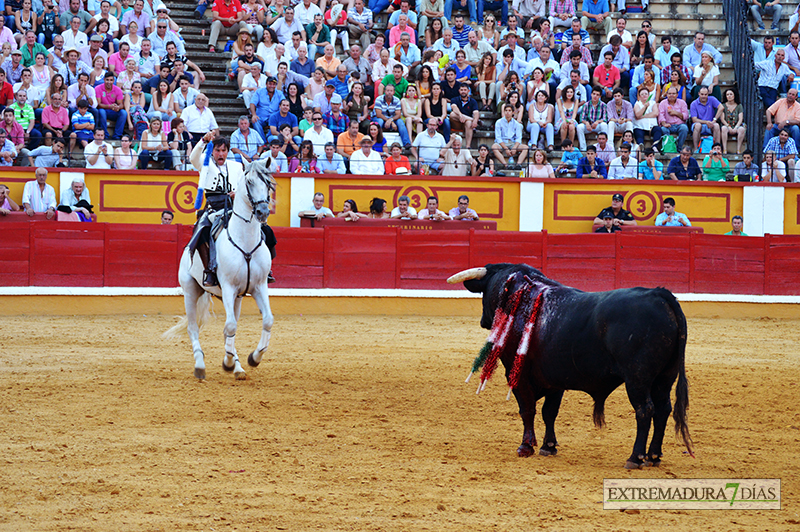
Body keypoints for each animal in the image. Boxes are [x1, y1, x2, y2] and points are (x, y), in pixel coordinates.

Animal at [164, 156, 276, 380]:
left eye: (268, 183)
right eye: (249, 182)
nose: (262, 211)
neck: (245, 242)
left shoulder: (258, 286)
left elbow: (266, 320)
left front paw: (252, 359)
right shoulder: (228, 287)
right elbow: (229, 326)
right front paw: (228, 362)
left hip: (237, 298)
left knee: (229, 327)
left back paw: (238, 367)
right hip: (190, 290)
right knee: (193, 328)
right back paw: (200, 365)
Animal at [454, 264, 692, 468]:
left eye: (485, 292)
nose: (484, 321)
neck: (524, 299)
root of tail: (659, 295)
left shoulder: (518, 374)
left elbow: (527, 409)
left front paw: (526, 447)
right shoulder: (554, 379)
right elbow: (549, 411)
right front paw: (548, 446)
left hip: (638, 379)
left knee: (645, 410)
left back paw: (635, 458)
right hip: (665, 377)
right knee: (663, 409)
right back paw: (654, 456)